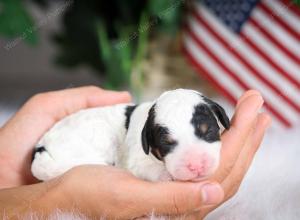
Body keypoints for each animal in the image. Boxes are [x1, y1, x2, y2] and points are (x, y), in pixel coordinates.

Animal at [31, 88, 230, 181]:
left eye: (208, 130)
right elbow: (147, 168)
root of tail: (41, 149)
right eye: (166, 143)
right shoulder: (137, 159)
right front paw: (166, 175)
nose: (196, 166)